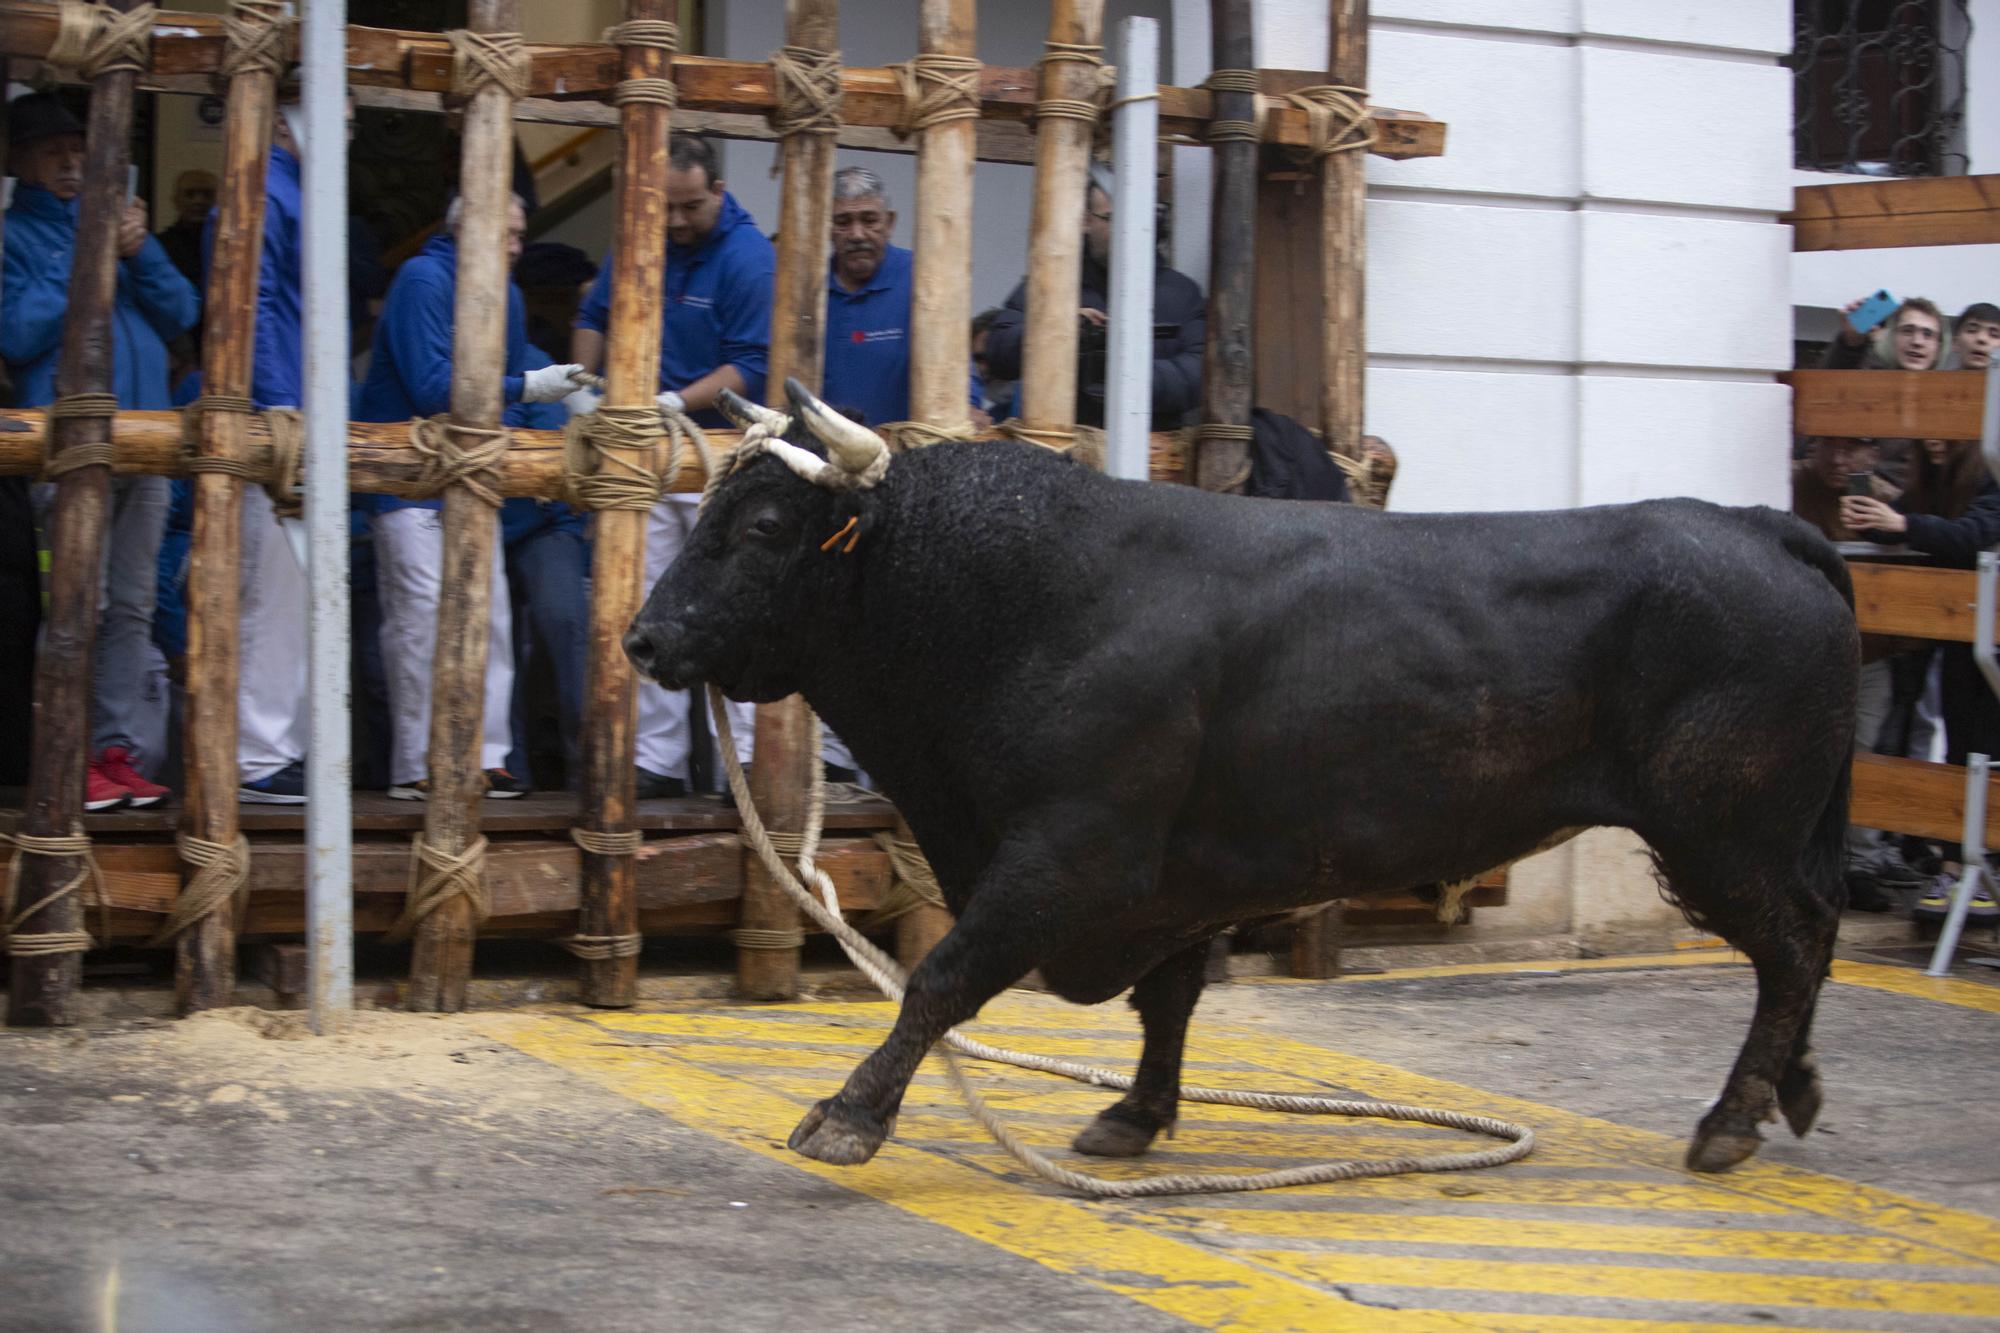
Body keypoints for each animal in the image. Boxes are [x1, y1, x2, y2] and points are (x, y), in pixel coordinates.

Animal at [624, 430, 1856, 1168]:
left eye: (763, 529)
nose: (643, 638)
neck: (1026, 598)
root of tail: (1753, 522)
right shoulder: (1176, 875)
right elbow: (1167, 998)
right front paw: (1133, 1114)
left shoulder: (1069, 852)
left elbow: (942, 979)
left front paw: (848, 1112)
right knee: (1804, 944)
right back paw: (1786, 1088)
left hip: (1719, 833)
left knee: (1794, 944)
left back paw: (1730, 1118)